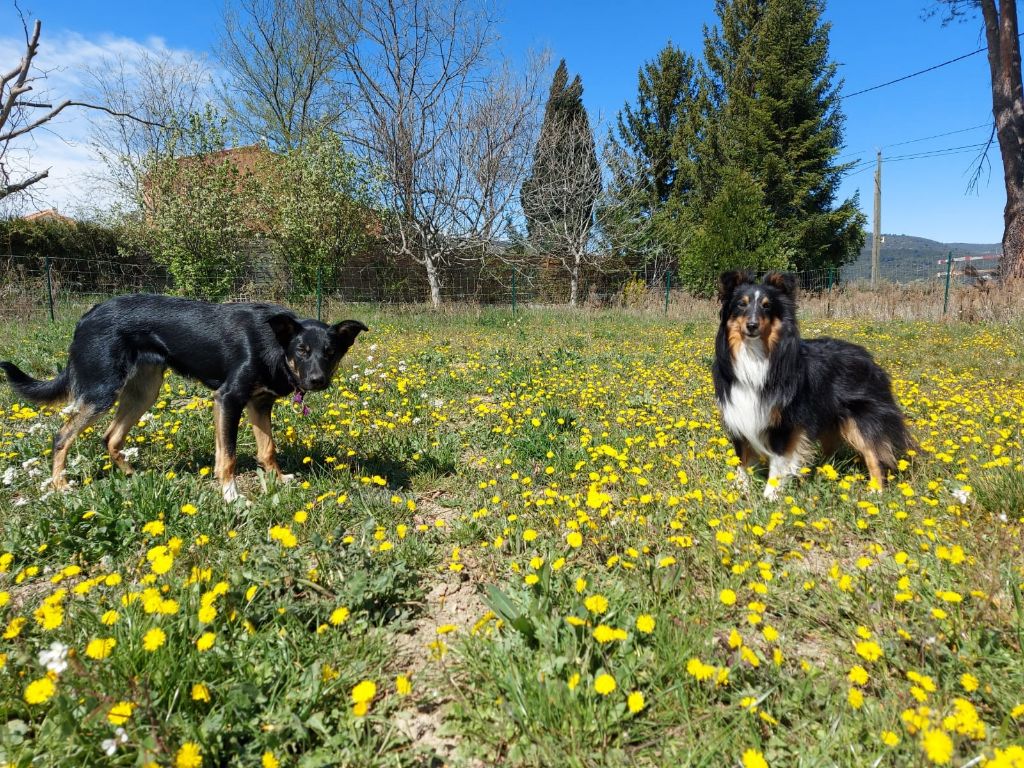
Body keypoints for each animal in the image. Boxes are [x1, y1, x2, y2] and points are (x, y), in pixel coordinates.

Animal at [0, 292, 368, 499]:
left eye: (331, 353)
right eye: (302, 350)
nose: (318, 381)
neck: (276, 343)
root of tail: (87, 315)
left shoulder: (258, 404)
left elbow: (268, 450)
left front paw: (278, 479)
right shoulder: (228, 399)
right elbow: (228, 456)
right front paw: (231, 495)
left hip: (144, 392)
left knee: (110, 437)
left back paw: (133, 476)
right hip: (101, 391)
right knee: (62, 436)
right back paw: (60, 485)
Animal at [712, 270, 913, 499]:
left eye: (766, 306)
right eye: (741, 304)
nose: (752, 326)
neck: (754, 356)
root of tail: (867, 356)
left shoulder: (785, 423)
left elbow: (778, 462)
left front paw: (770, 496)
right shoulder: (739, 415)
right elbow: (742, 460)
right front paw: (739, 491)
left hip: (861, 419)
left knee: (874, 454)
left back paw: (875, 492)